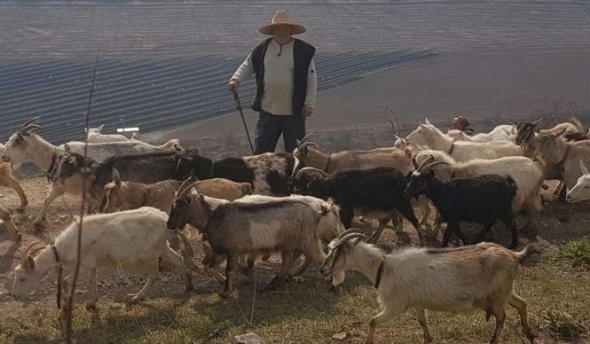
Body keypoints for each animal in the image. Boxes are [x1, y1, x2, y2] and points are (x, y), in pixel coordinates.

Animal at [9, 207, 194, 306]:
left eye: (23, 278)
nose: (14, 296)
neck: (63, 248)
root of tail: (166, 219)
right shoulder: (91, 265)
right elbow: (92, 280)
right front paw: (92, 303)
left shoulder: (84, 264)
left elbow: (66, 281)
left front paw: (67, 306)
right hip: (162, 246)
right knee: (178, 259)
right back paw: (188, 285)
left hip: (151, 253)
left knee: (154, 275)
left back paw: (136, 298)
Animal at [324, 230, 540, 342]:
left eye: (338, 252)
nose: (322, 270)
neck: (383, 268)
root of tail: (513, 255)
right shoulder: (418, 304)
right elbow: (423, 323)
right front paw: (428, 339)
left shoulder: (395, 306)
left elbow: (372, 321)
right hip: (505, 292)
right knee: (522, 303)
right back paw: (529, 333)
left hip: (497, 296)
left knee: (502, 317)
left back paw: (494, 340)